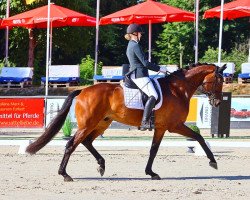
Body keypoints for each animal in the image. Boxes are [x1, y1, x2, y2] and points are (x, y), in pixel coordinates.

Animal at [25, 63, 227, 181]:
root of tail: (83, 90)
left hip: (101, 123)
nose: (217, 102)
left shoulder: (161, 127)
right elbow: (199, 138)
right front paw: (213, 162)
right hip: (88, 124)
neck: (178, 89)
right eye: (219, 80)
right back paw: (65, 174)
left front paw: (151, 173)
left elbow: (153, 150)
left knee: (87, 142)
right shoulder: (174, 126)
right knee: (71, 144)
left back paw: (101, 165)